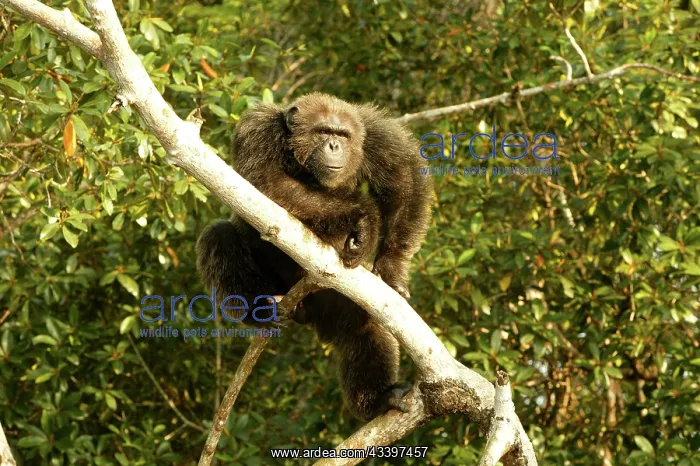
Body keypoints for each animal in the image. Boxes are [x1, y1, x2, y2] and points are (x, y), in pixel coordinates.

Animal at [196, 93, 432, 420]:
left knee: (363, 328)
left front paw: (391, 268)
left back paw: (380, 398)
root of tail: (304, 310)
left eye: (342, 135)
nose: (334, 145)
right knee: (218, 237)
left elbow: (404, 177)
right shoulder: (256, 131)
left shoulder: (377, 135)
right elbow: (268, 182)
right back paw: (258, 310)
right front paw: (364, 216)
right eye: (322, 131)